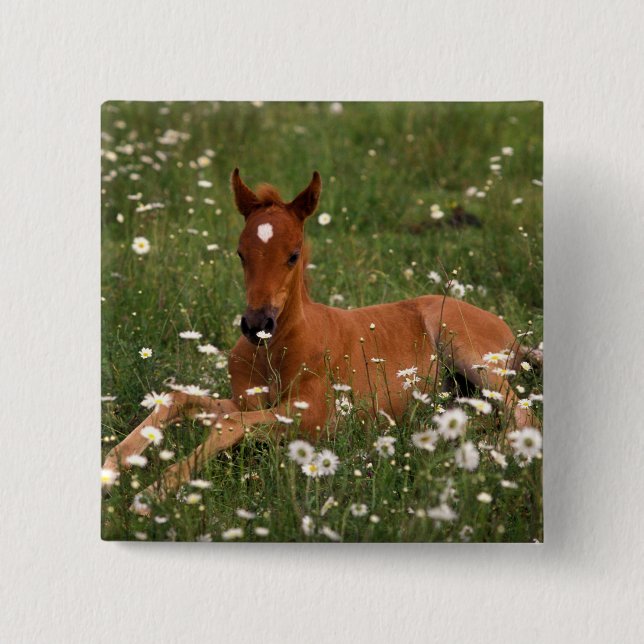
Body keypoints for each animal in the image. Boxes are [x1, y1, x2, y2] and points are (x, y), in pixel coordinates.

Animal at [102, 169, 539, 501]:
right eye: (240, 253)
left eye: (293, 254)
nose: (256, 324)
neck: (276, 351)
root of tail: (513, 336)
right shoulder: (245, 400)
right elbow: (181, 401)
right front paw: (115, 463)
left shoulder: (314, 417)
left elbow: (228, 425)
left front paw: (155, 490)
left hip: (469, 350)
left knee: (523, 413)